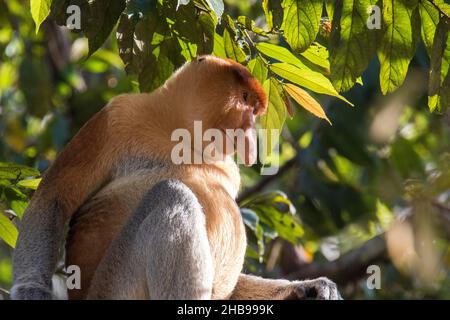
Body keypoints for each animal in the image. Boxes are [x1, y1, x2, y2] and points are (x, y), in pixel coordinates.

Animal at [11, 55, 342, 300]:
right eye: (245, 99)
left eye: (256, 110)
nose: (249, 128)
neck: (183, 133)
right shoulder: (116, 116)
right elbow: (55, 197)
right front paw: (31, 292)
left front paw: (312, 286)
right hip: (112, 290)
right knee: (171, 194)